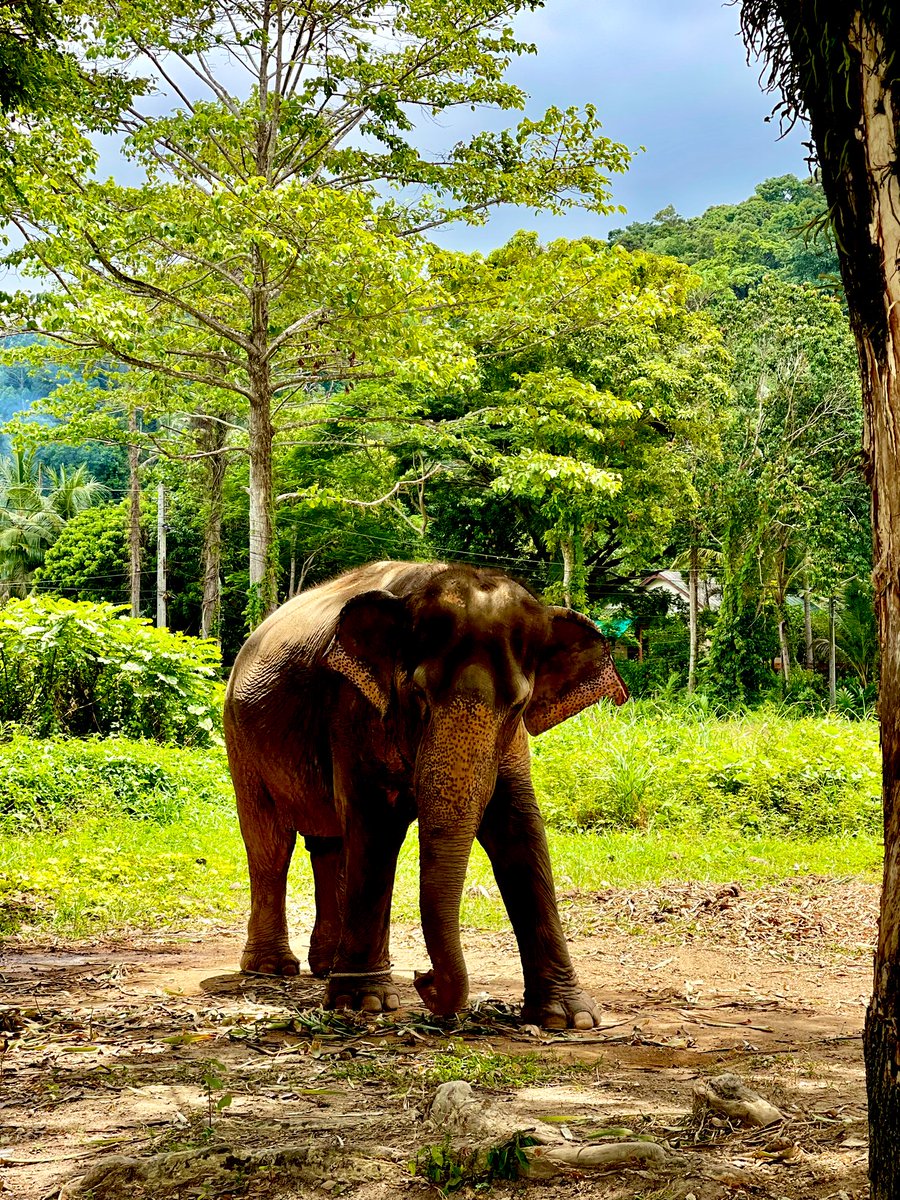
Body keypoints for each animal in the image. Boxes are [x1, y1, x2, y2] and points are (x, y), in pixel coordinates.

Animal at [224, 560, 629, 1029]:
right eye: (418, 695)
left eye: (517, 706)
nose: (423, 978)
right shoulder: (354, 706)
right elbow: (375, 827)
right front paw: (365, 1003)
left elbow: (520, 831)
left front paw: (569, 1017)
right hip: (239, 738)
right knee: (270, 844)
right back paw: (272, 968)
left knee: (328, 844)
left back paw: (324, 967)